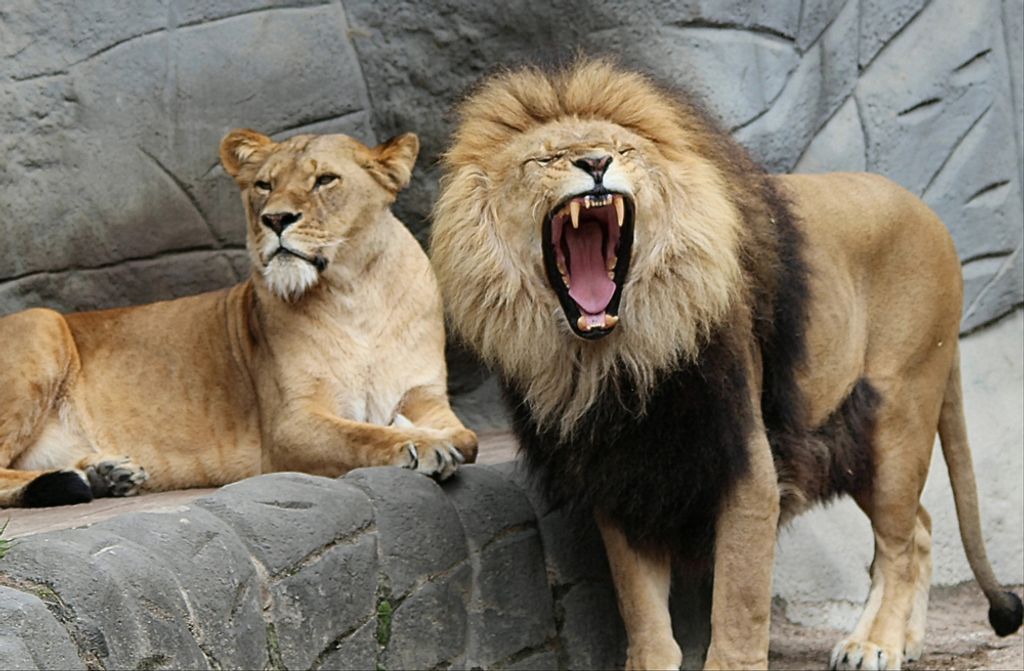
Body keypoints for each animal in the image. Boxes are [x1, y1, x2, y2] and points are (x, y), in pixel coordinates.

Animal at [0, 129, 477, 508]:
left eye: (325, 180)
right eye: (264, 185)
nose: (276, 219)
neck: (357, 295)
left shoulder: (427, 397)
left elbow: (467, 439)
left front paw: (426, 434)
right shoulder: (289, 426)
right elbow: (362, 434)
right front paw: (419, 444)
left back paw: (108, 474)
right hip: (41, 324)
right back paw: (73, 480)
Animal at [430, 59, 1022, 670]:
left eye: (623, 149)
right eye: (545, 159)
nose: (595, 164)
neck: (616, 360)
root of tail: (932, 216)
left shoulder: (746, 460)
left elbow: (738, 598)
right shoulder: (618, 469)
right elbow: (639, 601)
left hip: (895, 416)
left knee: (900, 541)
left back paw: (875, 643)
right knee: (920, 529)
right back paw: (905, 639)